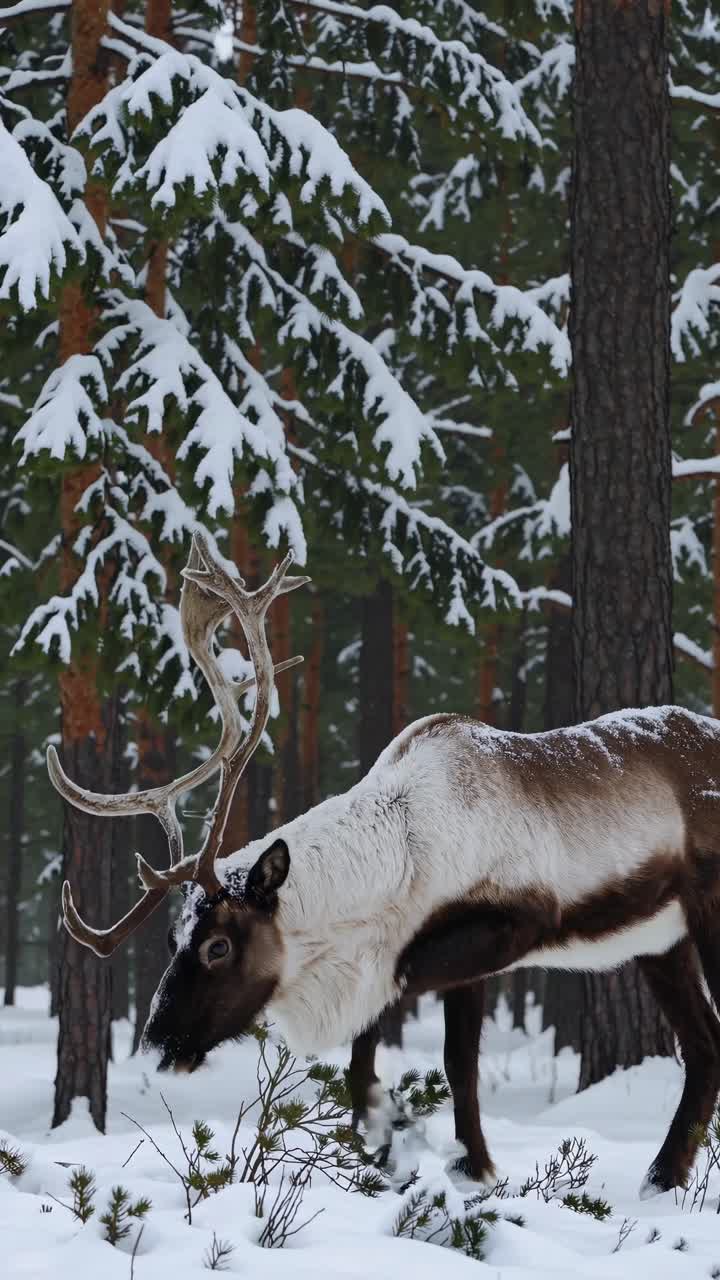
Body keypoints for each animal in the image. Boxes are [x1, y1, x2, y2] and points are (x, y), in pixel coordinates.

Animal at [49, 533, 720, 1199]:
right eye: (171, 937)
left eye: (219, 945)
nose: (158, 1044)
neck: (401, 863)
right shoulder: (466, 967)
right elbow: (455, 1064)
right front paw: (466, 1167)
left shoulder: (507, 927)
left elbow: (388, 1012)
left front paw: (391, 1125)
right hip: (661, 940)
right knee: (704, 1044)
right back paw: (661, 1180)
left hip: (703, 913)